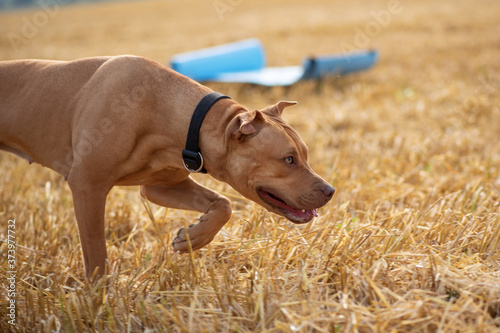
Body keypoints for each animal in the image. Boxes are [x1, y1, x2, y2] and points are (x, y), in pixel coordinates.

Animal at [1, 55, 336, 278]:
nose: (330, 191)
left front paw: (192, 238)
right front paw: (99, 300)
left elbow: (223, 204)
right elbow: (96, 252)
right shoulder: (87, 186)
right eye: (288, 159)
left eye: (304, 155)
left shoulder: (161, 186)